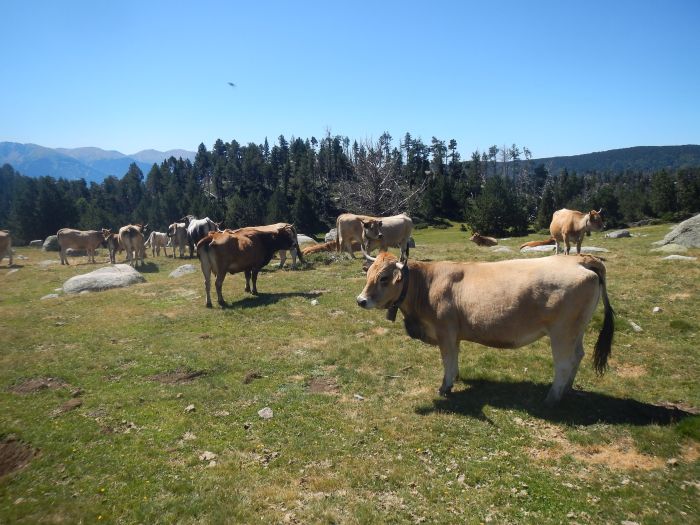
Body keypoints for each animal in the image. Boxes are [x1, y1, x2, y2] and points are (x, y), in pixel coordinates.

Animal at [358, 252, 616, 404]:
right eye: (368, 274)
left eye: (384, 278)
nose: (360, 300)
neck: (427, 284)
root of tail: (580, 259)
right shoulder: (454, 334)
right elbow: (455, 357)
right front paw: (456, 376)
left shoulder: (445, 332)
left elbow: (447, 359)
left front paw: (445, 386)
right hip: (577, 330)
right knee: (578, 355)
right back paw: (567, 390)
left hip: (562, 332)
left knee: (564, 362)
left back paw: (552, 398)